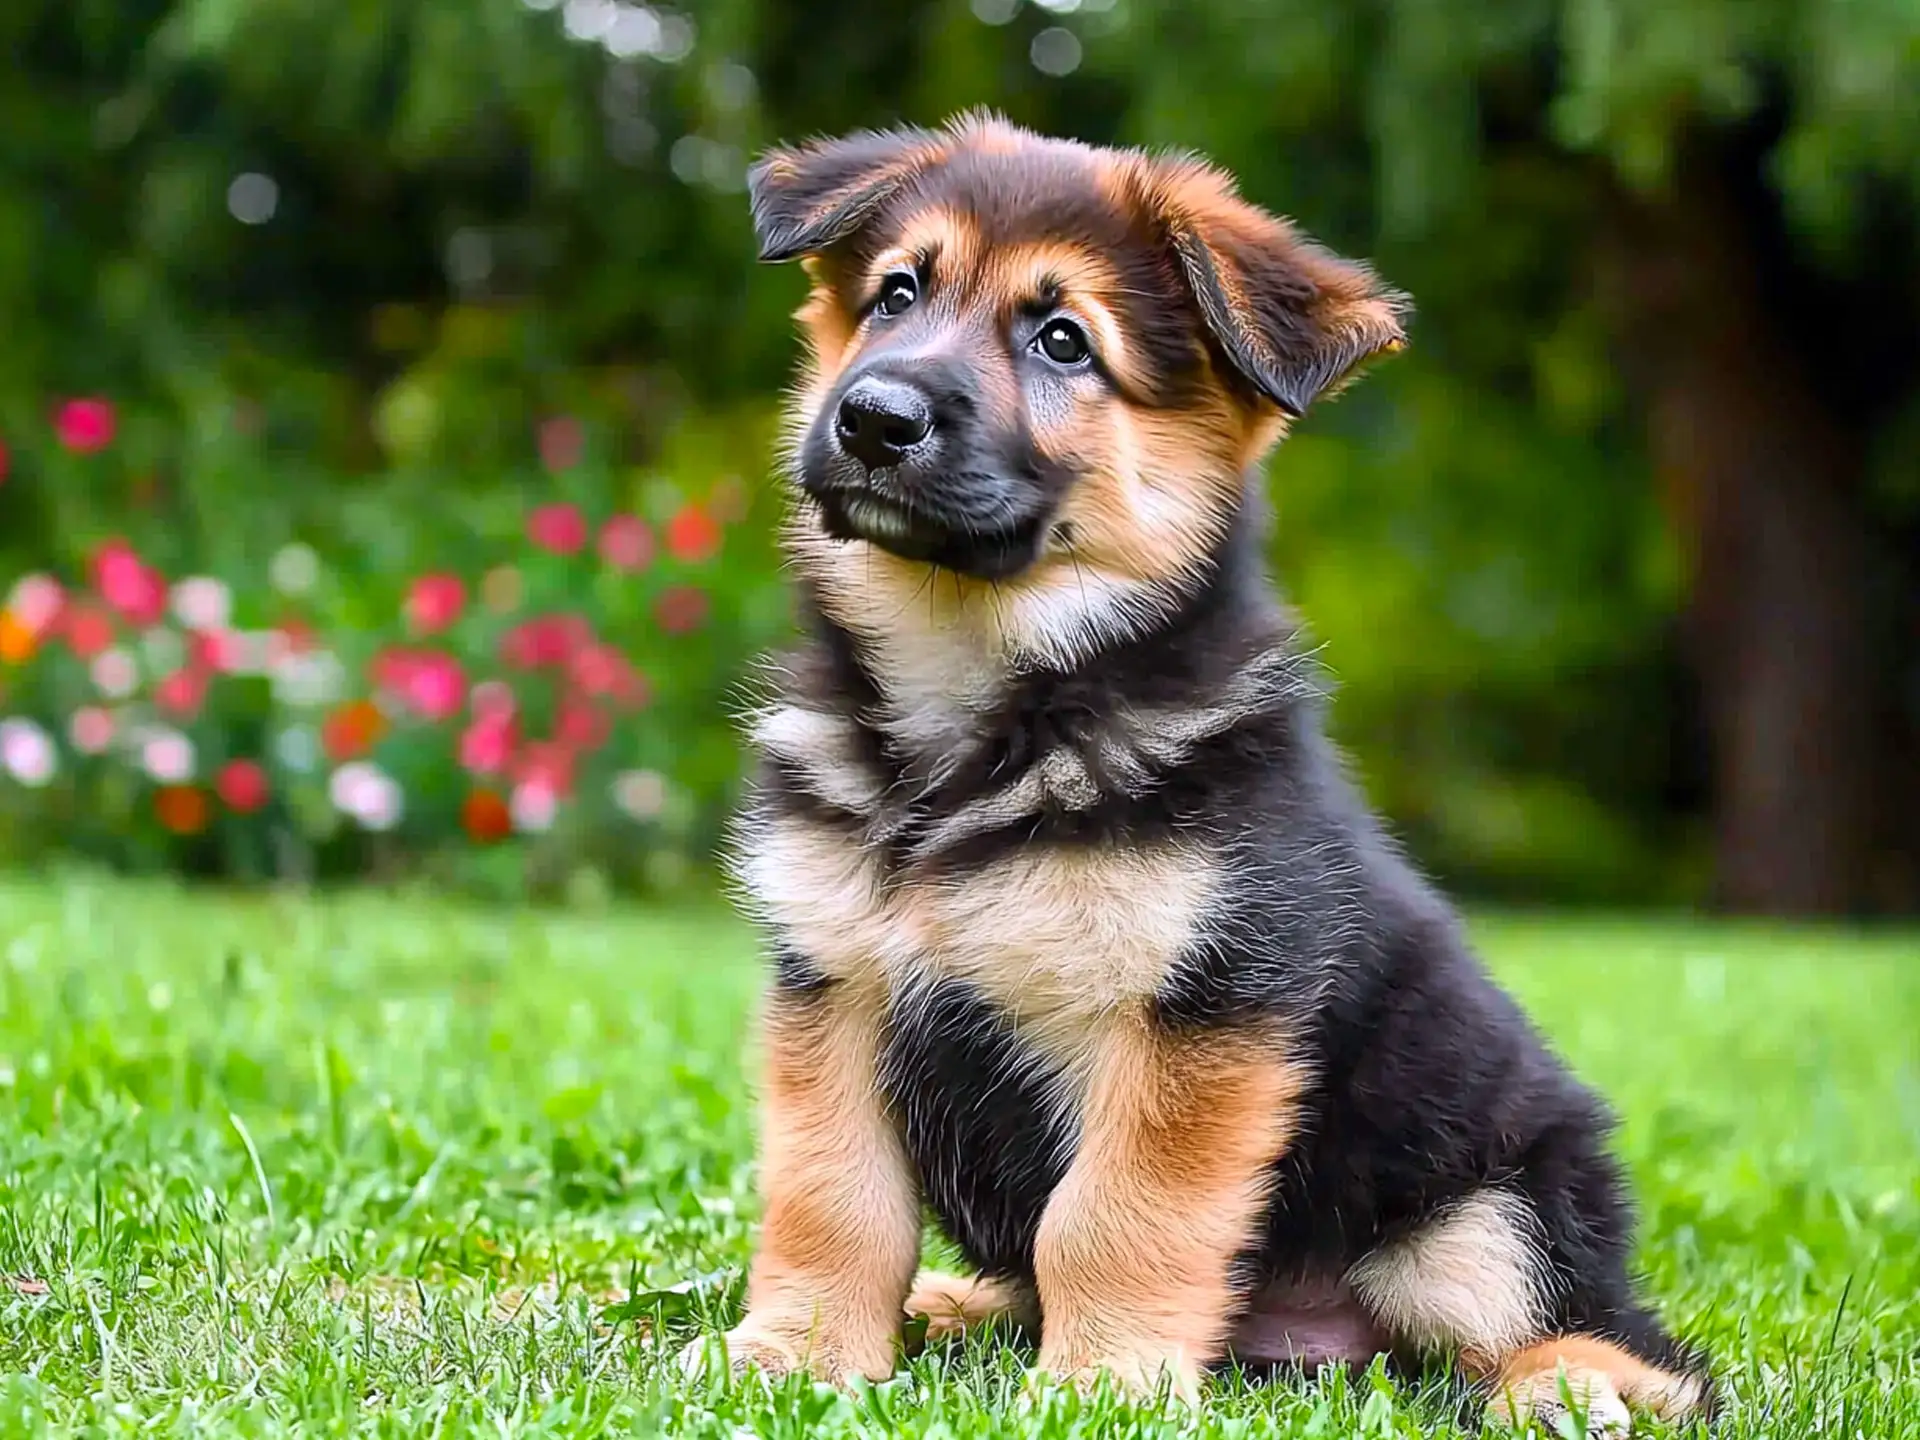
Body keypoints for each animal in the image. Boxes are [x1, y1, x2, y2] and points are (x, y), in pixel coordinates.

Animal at [687, 115, 1712, 1440]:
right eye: (896, 295)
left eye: (1063, 341)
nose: (872, 417)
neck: (980, 716)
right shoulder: (836, 983)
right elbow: (832, 1198)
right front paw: (796, 1355)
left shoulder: (1199, 1013)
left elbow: (1112, 1218)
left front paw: (1102, 1385)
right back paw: (960, 1307)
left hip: (1487, 1215)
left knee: (1624, 1346)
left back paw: (1570, 1386)